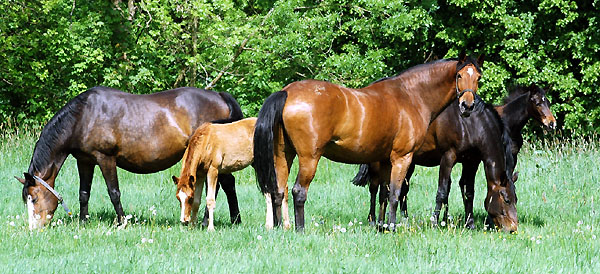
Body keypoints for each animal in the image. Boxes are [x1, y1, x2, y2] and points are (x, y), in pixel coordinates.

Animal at [14, 86, 244, 229]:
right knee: (228, 184)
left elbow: (114, 192)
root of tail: (219, 96)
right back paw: (235, 220)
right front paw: (83, 221)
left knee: (220, 185)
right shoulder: (85, 161)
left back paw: (210, 222)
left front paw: (122, 222)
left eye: (33, 198)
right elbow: (84, 193)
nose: (34, 228)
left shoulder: (105, 158)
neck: (83, 116)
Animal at [254, 52, 488, 230]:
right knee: (298, 191)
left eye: (478, 77)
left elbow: (383, 194)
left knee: (279, 190)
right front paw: (392, 227)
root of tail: (287, 92)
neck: (411, 96)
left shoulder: (384, 160)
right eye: (459, 75)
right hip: (309, 158)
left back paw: (279, 227)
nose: (467, 106)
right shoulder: (402, 158)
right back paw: (300, 229)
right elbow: (395, 194)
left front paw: (381, 226)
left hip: (283, 155)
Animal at [354, 83, 556, 231]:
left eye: (516, 200)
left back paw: (402, 218)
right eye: (506, 200)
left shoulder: (471, 161)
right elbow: (442, 191)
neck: (470, 124)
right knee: (377, 187)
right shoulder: (448, 157)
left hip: (408, 162)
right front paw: (435, 222)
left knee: (399, 188)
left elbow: (468, 191)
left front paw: (470, 223)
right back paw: (374, 220)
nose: (513, 228)